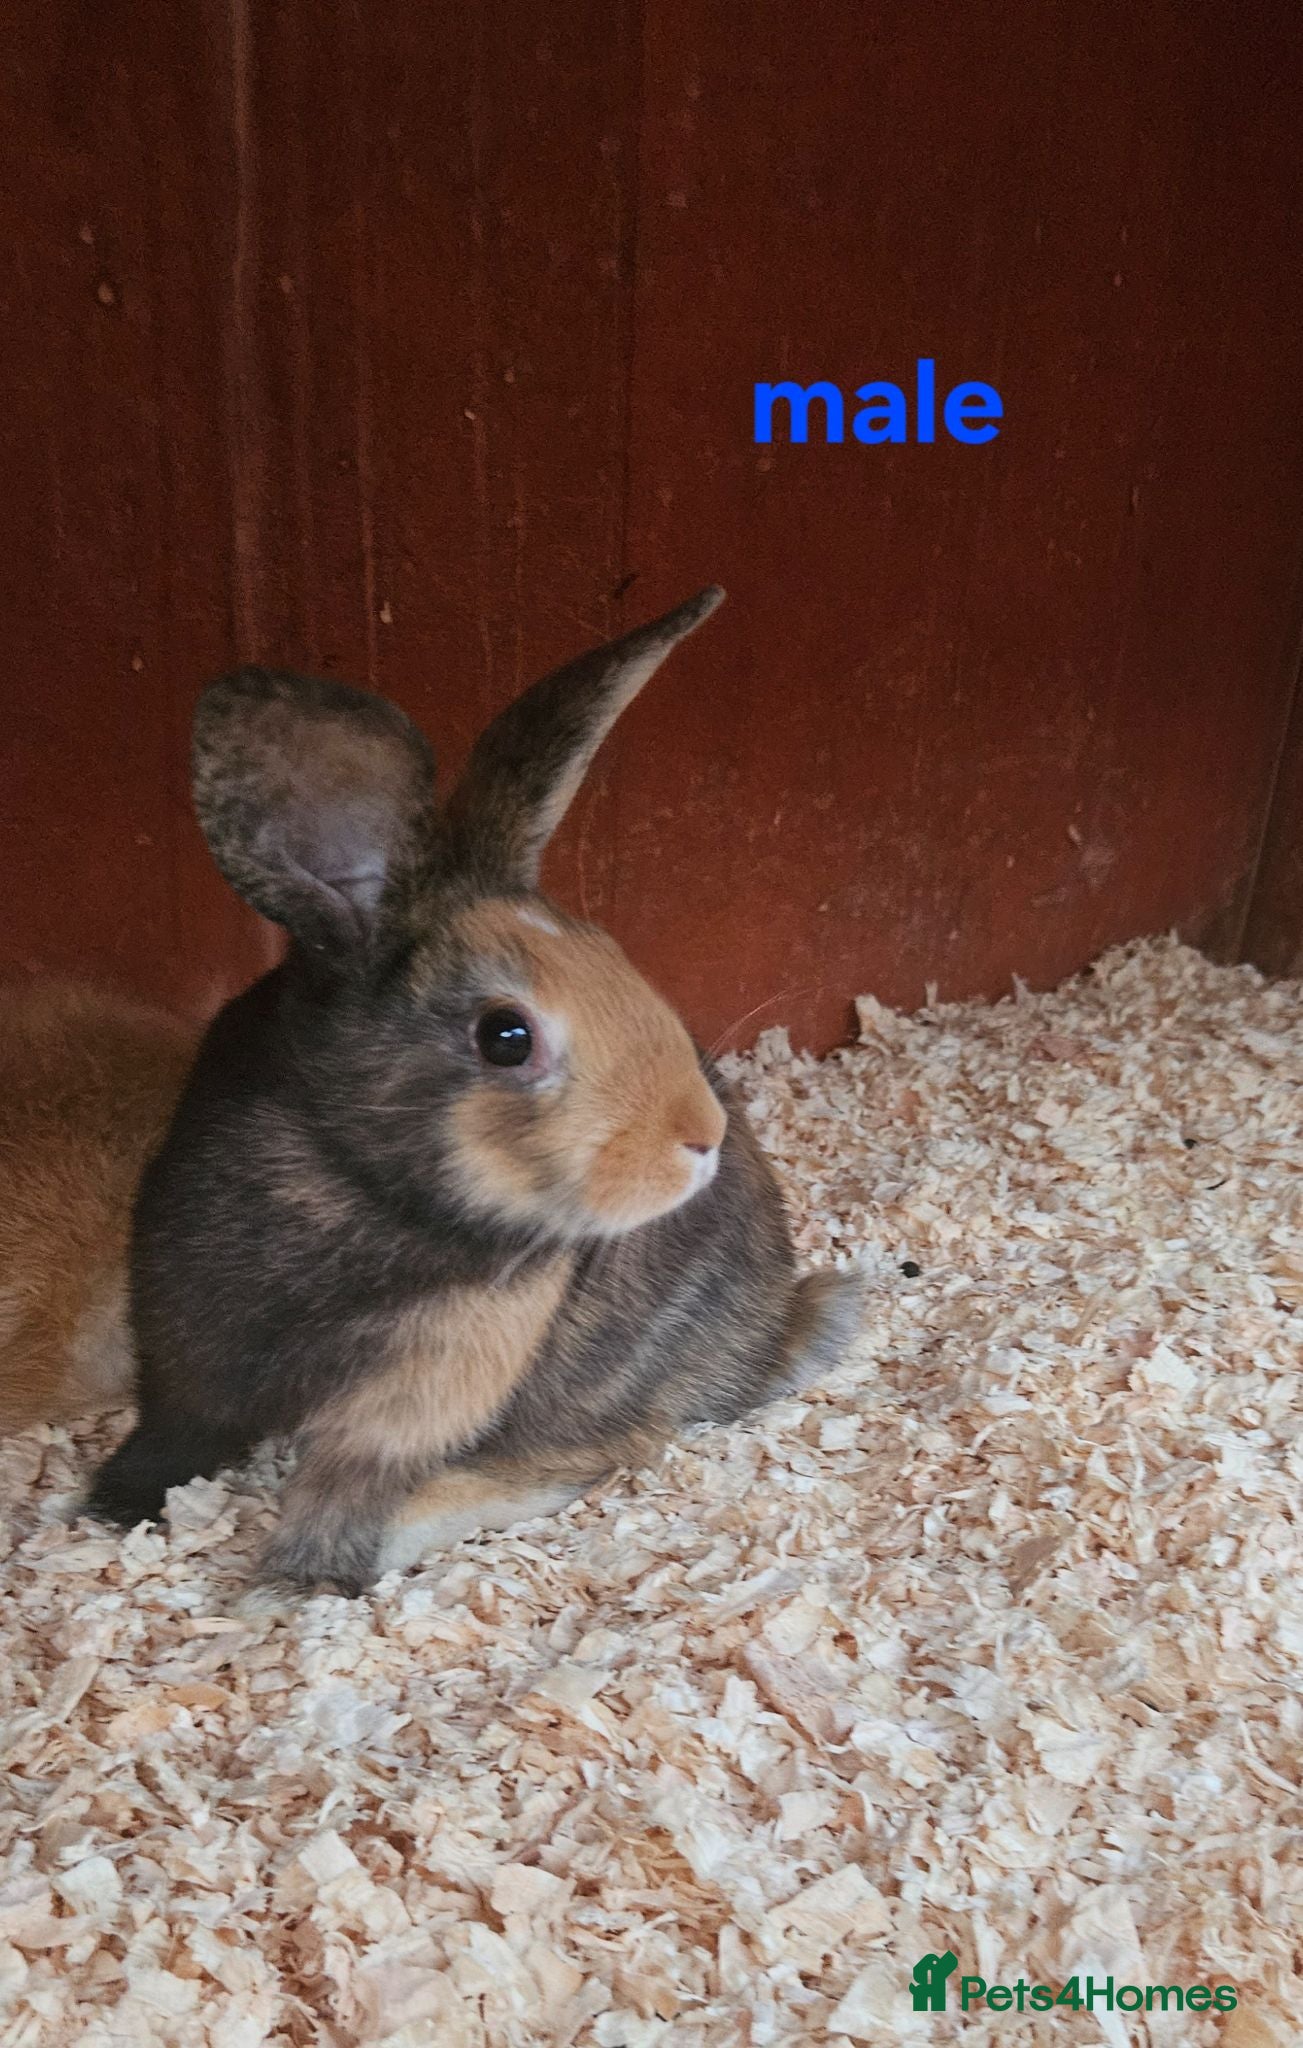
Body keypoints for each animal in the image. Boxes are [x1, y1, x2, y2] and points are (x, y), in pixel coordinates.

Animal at [87, 588, 859, 1592]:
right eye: (505, 1036)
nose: (698, 1138)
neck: (363, 1183)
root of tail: (771, 1329)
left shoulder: (434, 1375)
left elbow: (352, 1477)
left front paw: (295, 1583)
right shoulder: (187, 1341)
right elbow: (175, 1429)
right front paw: (112, 1506)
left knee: (595, 1452)